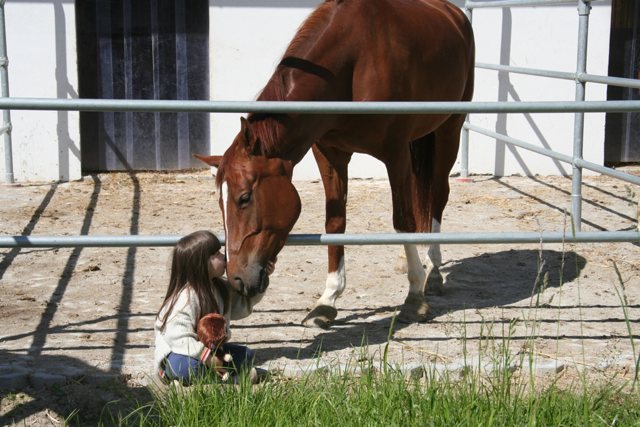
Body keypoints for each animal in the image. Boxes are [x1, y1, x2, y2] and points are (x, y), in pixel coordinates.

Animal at [196, 0, 475, 328]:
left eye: (244, 197)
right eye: (219, 202)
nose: (237, 279)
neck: (353, 61)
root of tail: (454, 14)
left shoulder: (396, 154)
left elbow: (402, 220)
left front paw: (415, 294)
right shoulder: (329, 154)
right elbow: (335, 222)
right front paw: (327, 299)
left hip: (449, 129)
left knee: (438, 196)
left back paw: (433, 269)